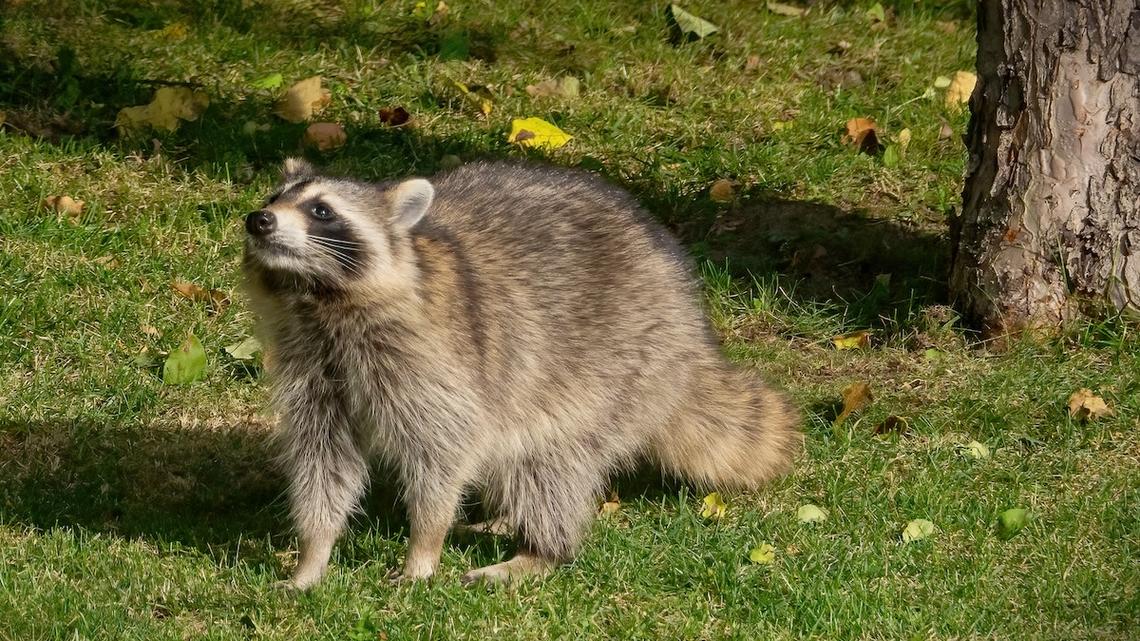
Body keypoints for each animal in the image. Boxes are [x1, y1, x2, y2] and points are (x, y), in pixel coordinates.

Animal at [242, 158, 801, 589]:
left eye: (322, 210)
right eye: (274, 195)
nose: (258, 219)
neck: (315, 299)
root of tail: (692, 336)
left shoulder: (433, 361)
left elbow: (444, 448)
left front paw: (424, 543)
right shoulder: (311, 367)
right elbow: (323, 457)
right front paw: (313, 554)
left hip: (617, 368)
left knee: (547, 462)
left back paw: (541, 550)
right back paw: (505, 519)